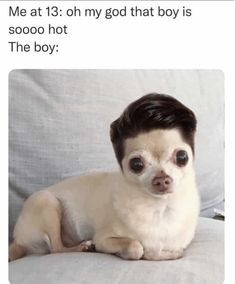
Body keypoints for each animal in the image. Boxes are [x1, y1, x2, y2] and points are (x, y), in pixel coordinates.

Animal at [9, 93, 200, 262]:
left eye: (182, 157)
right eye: (136, 164)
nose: (161, 178)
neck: (160, 208)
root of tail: (17, 239)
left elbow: (160, 250)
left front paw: (169, 252)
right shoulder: (103, 238)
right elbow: (136, 247)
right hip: (47, 201)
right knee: (55, 248)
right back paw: (83, 247)